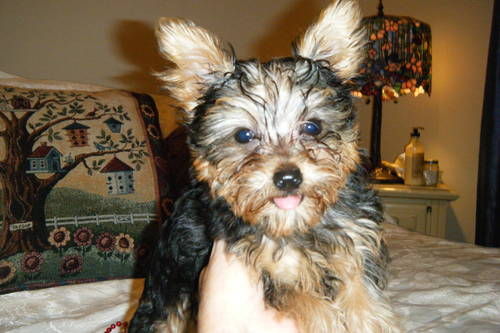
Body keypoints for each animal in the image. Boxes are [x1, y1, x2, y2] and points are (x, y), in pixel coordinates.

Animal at [131, 0, 400, 330]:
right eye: (243, 135)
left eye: (312, 127)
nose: (288, 178)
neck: (294, 224)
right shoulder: (267, 266)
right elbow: (300, 296)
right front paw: (326, 318)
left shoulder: (355, 237)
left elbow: (360, 282)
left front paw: (370, 316)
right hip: (164, 303)